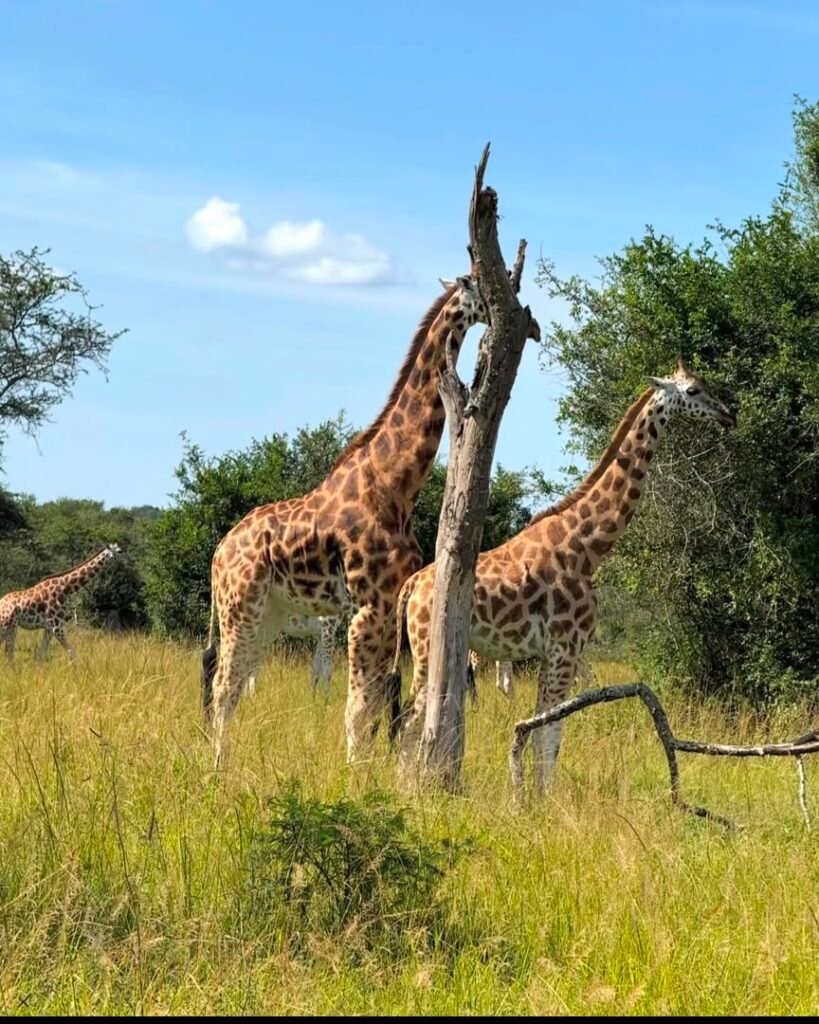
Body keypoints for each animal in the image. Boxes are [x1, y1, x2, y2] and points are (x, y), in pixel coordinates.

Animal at [201, 276, 488, 765]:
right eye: (485, 288)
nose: (533, 323)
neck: (394, 484)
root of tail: (220, 551)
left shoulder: (387, 605)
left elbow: (377, 704)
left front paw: (369, 772)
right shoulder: (368, 607)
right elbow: (359, 707)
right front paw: (354, 776)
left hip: (269, 614)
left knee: (234, 685)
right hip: (241, 607)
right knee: (223, 686)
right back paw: (218, 767)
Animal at [388, 359, 735, 793]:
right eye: (691, 391)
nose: (728, 414)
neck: (586, 548)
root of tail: (411, 586)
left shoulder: (557, 653)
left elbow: (545, 732)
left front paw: (539, 797)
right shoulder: (563, 649)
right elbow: (548, 736)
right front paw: (541, 802)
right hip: (425, 647)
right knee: (408, 723)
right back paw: (407, 790)